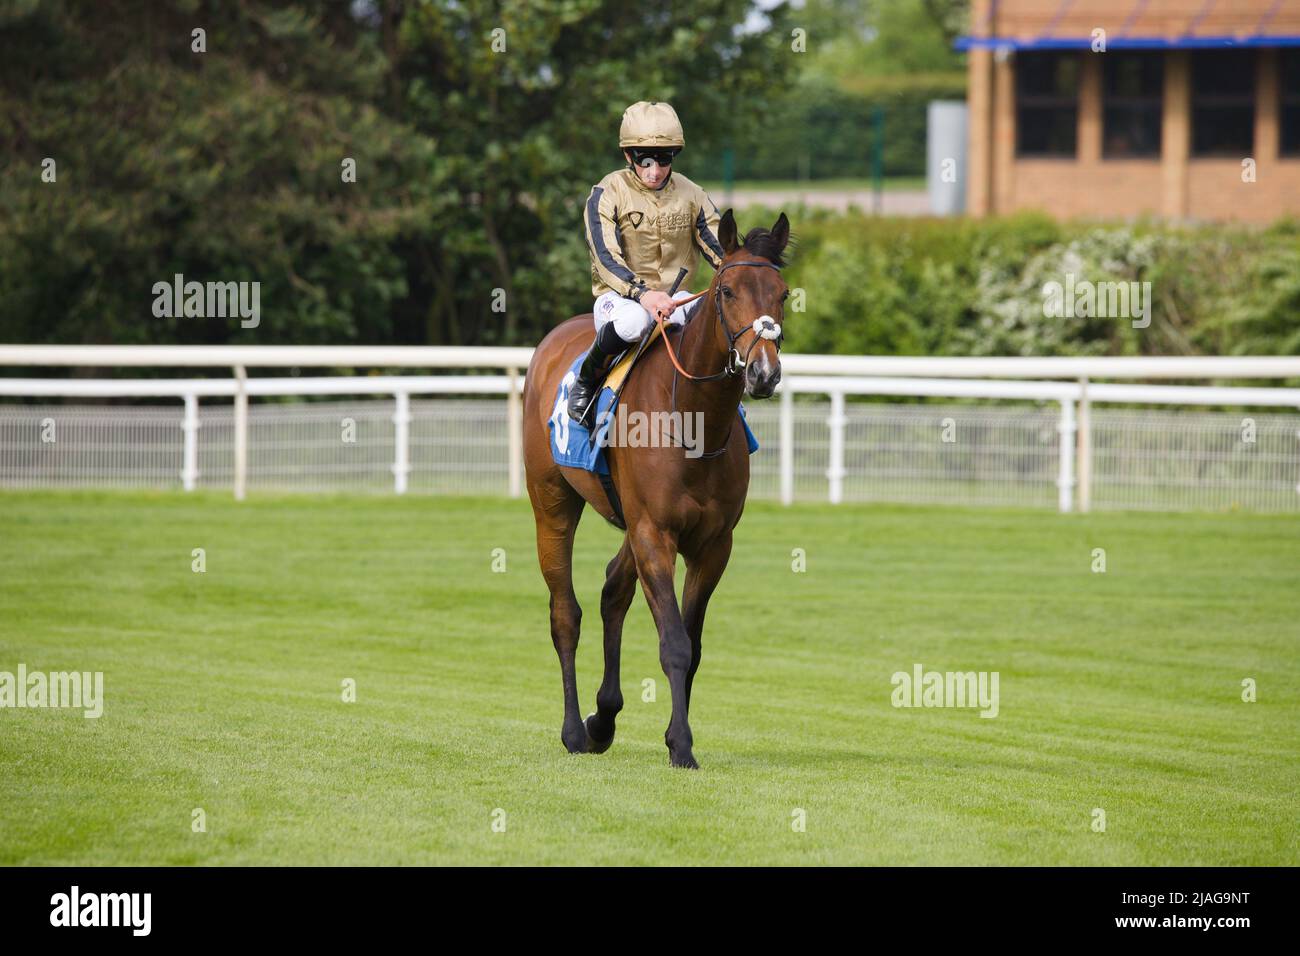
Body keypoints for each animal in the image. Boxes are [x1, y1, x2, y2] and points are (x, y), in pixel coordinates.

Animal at [520, 209, 790, 770]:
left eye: (783, 294)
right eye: (727, 290)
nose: (763, 372)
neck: (692, 419)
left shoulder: (713, 545)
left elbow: (693, 645)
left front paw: (669, 734)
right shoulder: (654, 535)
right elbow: (674, 644)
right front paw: (681, 745)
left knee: (612, 591)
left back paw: (602, 719)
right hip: (552, 502)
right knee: (565, 614)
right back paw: (575, 730)